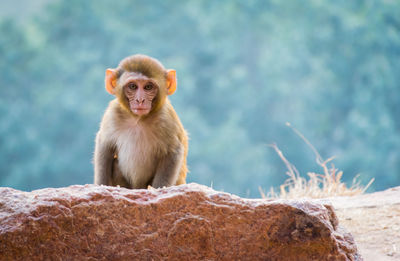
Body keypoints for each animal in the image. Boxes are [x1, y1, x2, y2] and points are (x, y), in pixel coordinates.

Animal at [93, 53, 188, 188]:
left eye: (148, 87)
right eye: (133, 86)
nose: (140, 100)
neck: (137, 119)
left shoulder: (166, 118)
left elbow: (173, 151)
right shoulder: (112, 114)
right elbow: (105, 146)